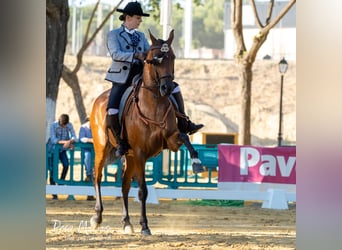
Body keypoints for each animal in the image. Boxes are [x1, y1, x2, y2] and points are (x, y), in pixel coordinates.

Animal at [89, 29, 204, 234]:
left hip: (130, 156)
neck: (154, 103)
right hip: (103, 148)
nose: (167, 88)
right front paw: (144, 225)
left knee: (125, 184)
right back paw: (97, 217)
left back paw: (127, 222)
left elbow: (184, 136)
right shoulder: (141, 153)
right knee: (98, 176)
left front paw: (197, 163)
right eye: (155, 59)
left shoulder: (170, 141)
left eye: (173, 57)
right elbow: (143, 190)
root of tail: (99, 100)